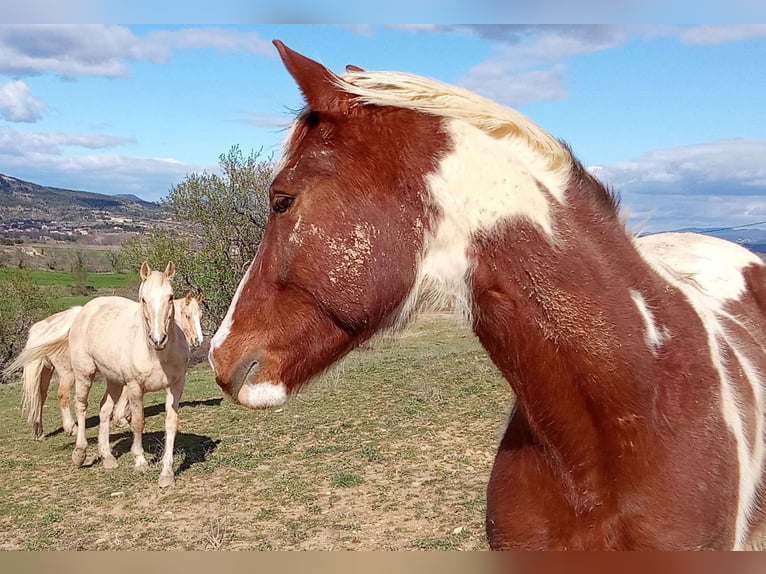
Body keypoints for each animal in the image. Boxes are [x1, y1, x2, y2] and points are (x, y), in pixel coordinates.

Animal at [3, 292, 206, 440]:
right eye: (188, 315)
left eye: (201, 316)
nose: (198, 340)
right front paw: (121, 418)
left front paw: (123, 415)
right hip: (70, 373)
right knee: (63, 395)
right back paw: (71, 428)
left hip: (45, 372)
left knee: (40, 397)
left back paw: (39, 431)